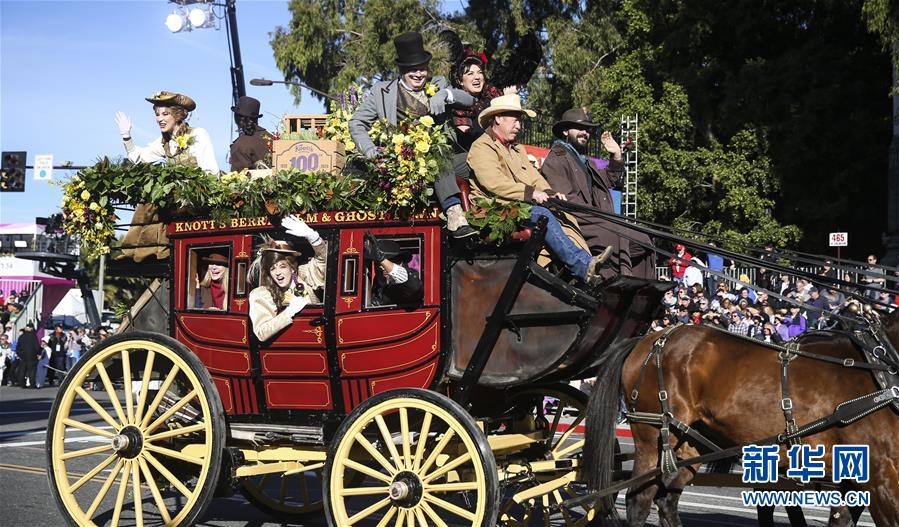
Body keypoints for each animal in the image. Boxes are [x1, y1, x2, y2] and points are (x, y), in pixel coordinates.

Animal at [584, 312, 899, 524]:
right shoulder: (880, 475)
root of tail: (650, 338)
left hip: (691, 440)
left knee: (667, 499)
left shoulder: (855, 477)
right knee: (639, 500)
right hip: (652, 433)